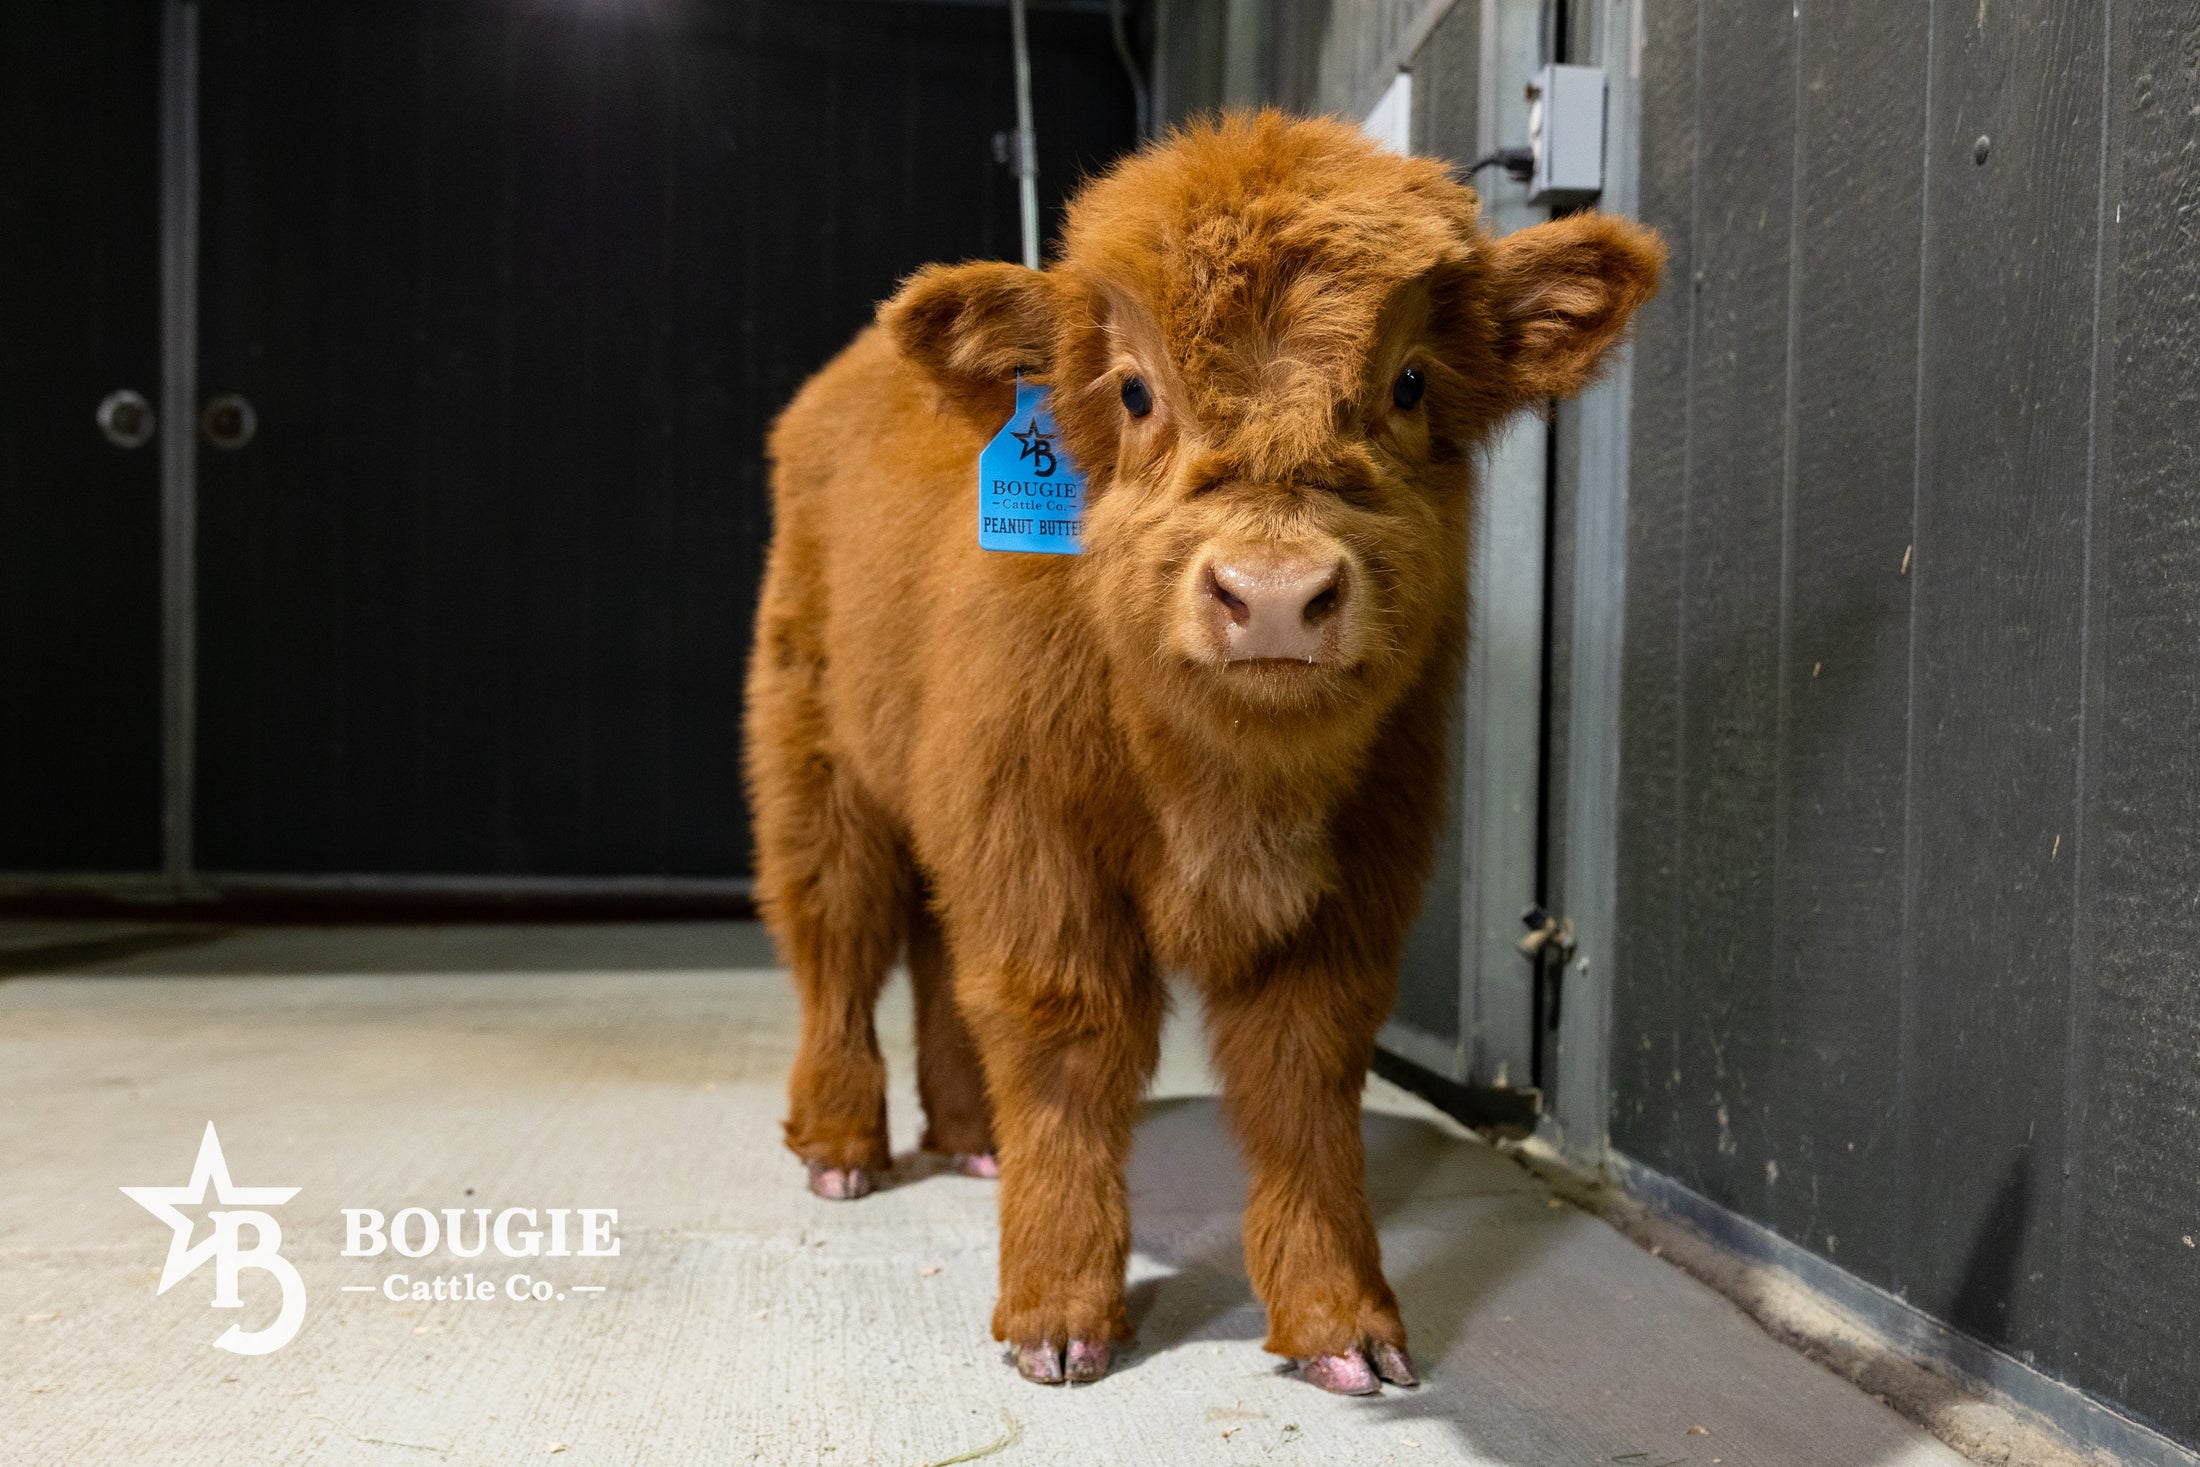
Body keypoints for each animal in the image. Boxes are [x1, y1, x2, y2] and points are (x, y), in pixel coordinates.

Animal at [744, 109, 1663, 1394]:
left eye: (1410, 380)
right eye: (1132, 390)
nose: (1272, 595)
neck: (1228, 786)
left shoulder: (1354, 883)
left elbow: (1302, 1082)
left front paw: (1342, 1322)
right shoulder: (1040, 863)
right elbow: (1066, 1050)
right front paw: (1058, 1313)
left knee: (927, 955)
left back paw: (972, 1139)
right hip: (816, 764)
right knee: (835, 938)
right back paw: (840, 1145)